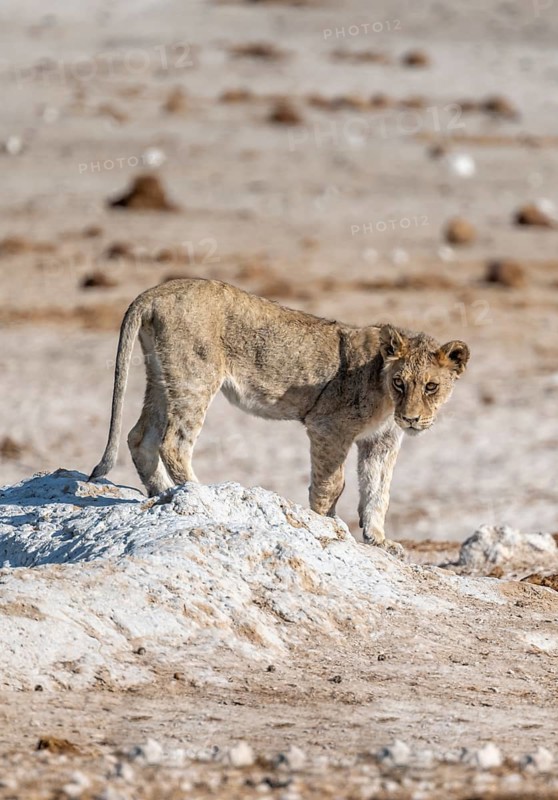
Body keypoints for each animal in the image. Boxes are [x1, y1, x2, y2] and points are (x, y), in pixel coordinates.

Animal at [90, 278, 469, 552]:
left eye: (431, 386)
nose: (412, 419)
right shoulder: (328, 427)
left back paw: (163, 493)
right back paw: (203, 498)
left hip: (161, 377)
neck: (387, 400)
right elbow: (332, 485)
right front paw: (328, 525)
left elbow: (378, 490)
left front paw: (379, 540)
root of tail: (155, 291)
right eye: (400, 382)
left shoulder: (382, 441)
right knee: (173, 442)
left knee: (140, 437)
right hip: (194, 379)